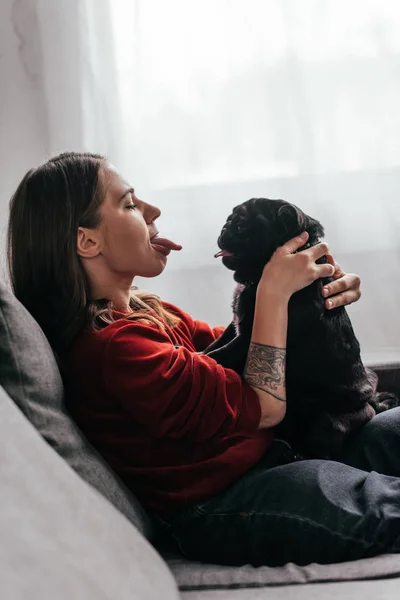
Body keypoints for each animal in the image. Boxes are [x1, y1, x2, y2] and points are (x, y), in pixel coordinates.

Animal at [205, 199, 398, 458]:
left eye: (240, 227)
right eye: (229, 223)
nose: (223, 230)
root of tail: (369, 405)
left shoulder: (245, 339)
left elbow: (220, 353)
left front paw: (200, 356)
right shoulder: (236, 325)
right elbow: (216, 344)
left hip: (327, 420)